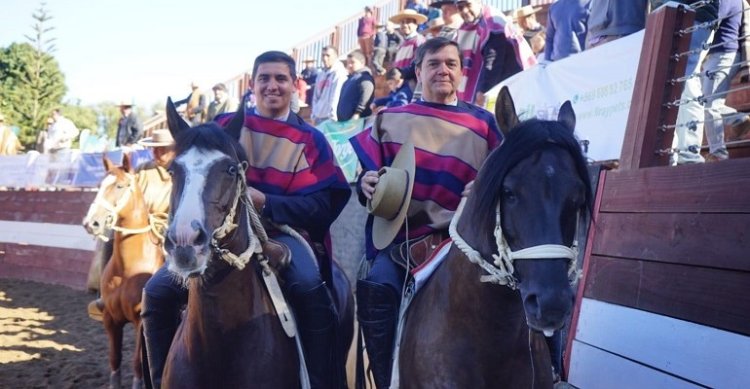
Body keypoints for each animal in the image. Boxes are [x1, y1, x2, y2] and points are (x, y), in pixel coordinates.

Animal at [82, 155, 164, 388]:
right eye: (99, 185)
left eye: (120, 186)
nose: (91, 223)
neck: (128, 270)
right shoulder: (111, 319)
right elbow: (114, 358)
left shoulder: (140, 322)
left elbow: (137, 363)